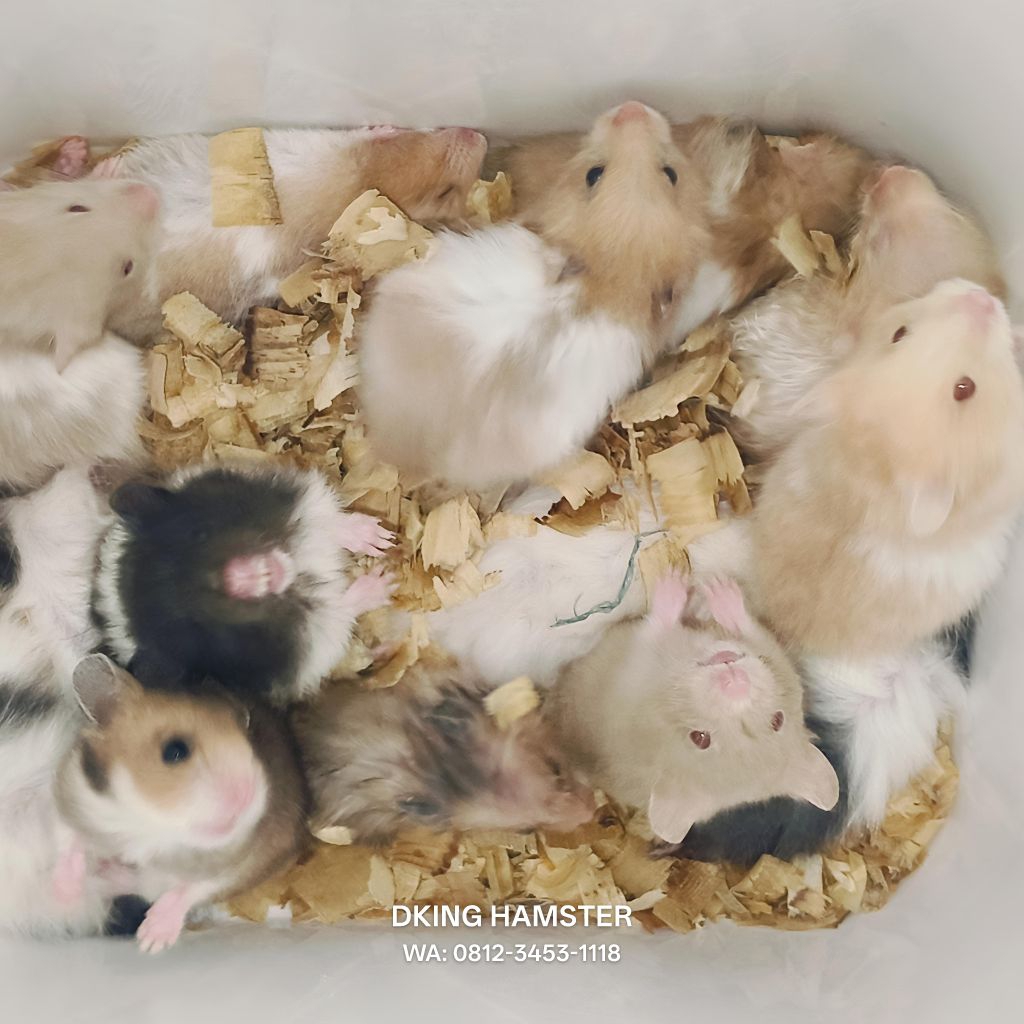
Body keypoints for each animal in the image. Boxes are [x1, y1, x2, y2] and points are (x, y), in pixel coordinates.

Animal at [55, 654, 309, 953]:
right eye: (175, 750)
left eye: (246, 731)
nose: (248, 795)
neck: (153, 823)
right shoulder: (72, 792)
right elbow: (68, 839)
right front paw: (64, 895)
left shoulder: (244, 861)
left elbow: (192, 889)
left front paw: (150, 943)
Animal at [93, 461, 394, 705]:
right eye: (200, 627)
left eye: (199, 534)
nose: (257, 575)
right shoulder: (318, 637)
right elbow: (343, 606)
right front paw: (386, 583)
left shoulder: (298, 502)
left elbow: (329, 522)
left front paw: (381, 541)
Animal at [550, 574, 839, 844]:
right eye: (778, 720)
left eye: (699, 737)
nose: (736, 680)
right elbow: (746, 628)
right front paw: (713, 585)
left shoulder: (639, 659)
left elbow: (660, 625)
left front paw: (689, 583)